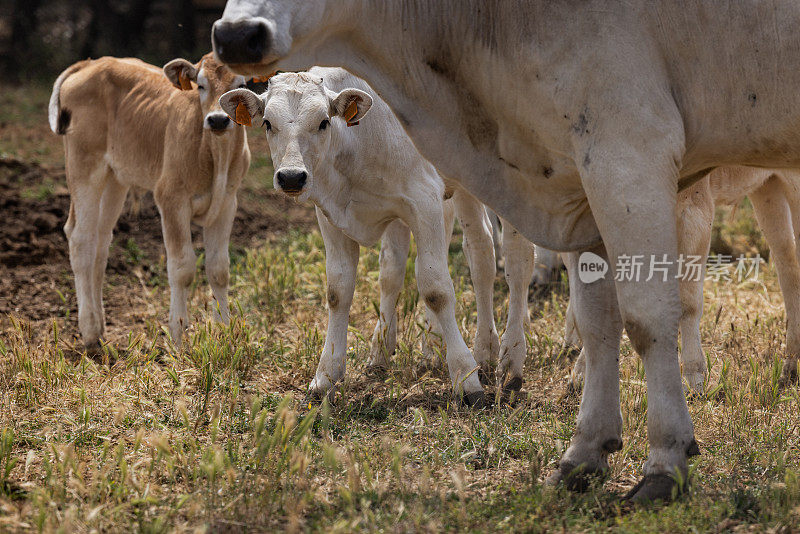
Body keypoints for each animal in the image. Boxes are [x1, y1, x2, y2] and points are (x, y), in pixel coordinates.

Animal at [50, 52, 250, 350]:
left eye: (240, 85)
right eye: (201, 85)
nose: (217, 120)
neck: (216, 153)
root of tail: (92, 62)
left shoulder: (227, 202)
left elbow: (219, 269)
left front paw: (225, 332)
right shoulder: (171, 198)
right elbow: (182, 268)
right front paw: (178, 335)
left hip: (115, 178)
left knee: (100, 241)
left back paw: (100, 325)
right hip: (84, 166)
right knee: (80, 237)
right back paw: (89, 331)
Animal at [216, 70, 536, 406]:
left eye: (323, 122)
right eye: (267, 123)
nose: (291, 177)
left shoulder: (426, 203)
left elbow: (436, 290)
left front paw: (465, 378)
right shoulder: (330, 216)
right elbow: (340, 291)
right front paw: (326, 376)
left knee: (518, 259)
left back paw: (511, 361)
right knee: (481, 253)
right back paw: (485, 352)